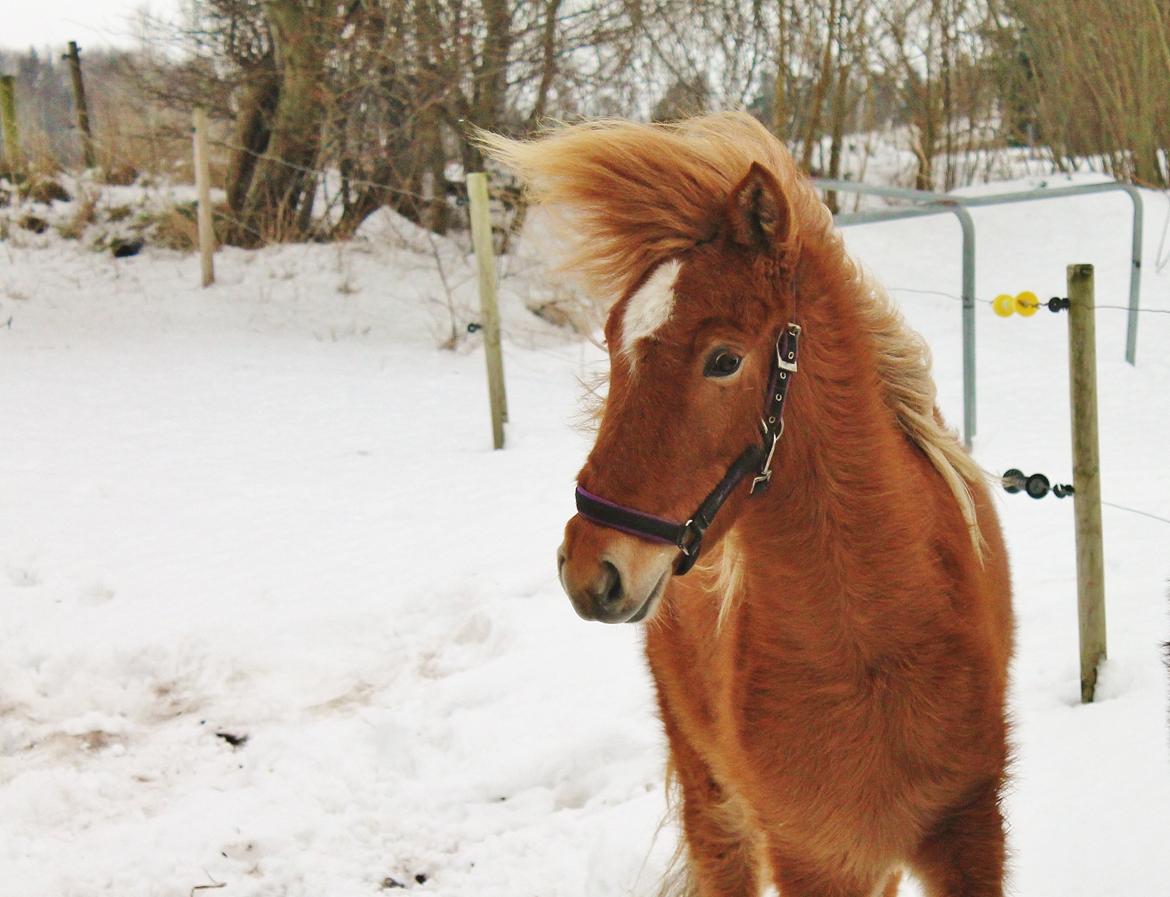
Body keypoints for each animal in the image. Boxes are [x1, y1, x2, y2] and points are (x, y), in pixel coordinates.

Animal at [479, 114, 1010, 897]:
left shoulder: (970, 834)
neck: (877, 644)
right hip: (715, 802)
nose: (588, 569)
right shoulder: (811, 855)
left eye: (724, 359)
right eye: (610, 342)